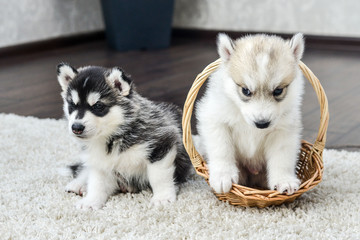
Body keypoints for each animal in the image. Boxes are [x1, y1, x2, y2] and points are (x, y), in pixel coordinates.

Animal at [56, 63, 190, 210]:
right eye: (72, 105)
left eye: (98, 106)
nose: (76, 127)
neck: (113, 137)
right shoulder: (99, 162)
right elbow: (96, 183)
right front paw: (91, 201)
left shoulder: (161, 143)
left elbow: (158, 176)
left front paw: (162, 197)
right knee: (85, 170)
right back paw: (77, 184)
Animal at [195, 33, 306, 195]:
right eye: (245, 91)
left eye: (278, 91)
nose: (262, 123)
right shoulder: (214, 119)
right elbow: (222, 149)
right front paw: (223, 175)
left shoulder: (284, 131)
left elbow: (282, 157)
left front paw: (284, 180)